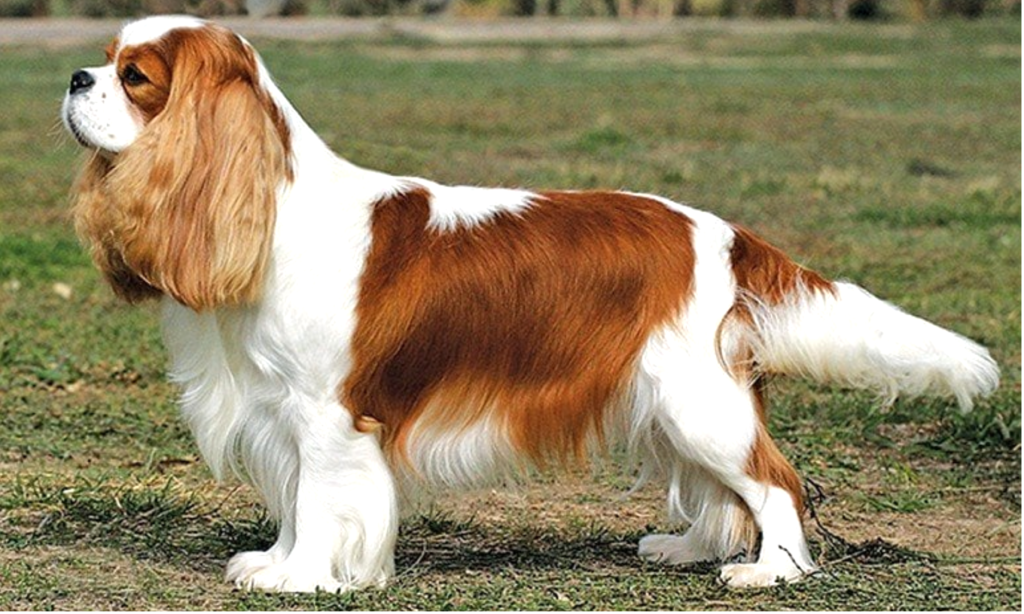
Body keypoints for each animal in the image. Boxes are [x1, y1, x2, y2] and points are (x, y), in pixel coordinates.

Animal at [59, 14, 995, 589]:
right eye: (105, 59)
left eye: (135, 76)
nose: (73, 75)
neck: (272, 205)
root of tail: (727, 233)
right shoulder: (280, 408)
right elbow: (292, 500)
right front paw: (279, 562)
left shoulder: (329, 414)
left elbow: (322, 500)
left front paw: (305, 577)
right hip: (668, 403)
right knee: (718, 490)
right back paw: (684, 548)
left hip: (696, 402)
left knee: (774, 483)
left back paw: (771, 571)